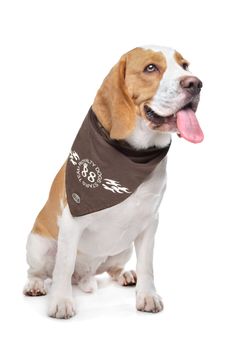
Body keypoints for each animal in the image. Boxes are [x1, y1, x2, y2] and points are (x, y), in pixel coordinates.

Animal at [22, 45, 203, 318]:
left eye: (185, 65)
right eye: (151, 68)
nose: (196, 84)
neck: (132, 157)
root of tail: (84, 276)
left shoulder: (150, 221)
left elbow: (147, 264)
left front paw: (147, 295)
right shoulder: (71, 221)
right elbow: (63, 265)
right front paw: (61, 301)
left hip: (123, 247)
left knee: (112, 268)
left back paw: (126, 275)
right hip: (38, 245)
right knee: (40, 271)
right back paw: (35, 284)